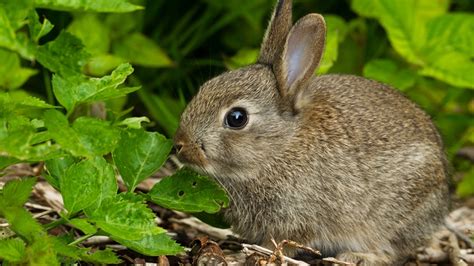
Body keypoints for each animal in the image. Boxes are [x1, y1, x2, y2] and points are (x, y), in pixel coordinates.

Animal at [173, 0, 448, 264]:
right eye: (205, 87)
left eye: (237, 118)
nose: (179, 144)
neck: (280, 147)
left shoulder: (300, 218)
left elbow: (286, 242)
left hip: (396, 217)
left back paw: (358, 257)